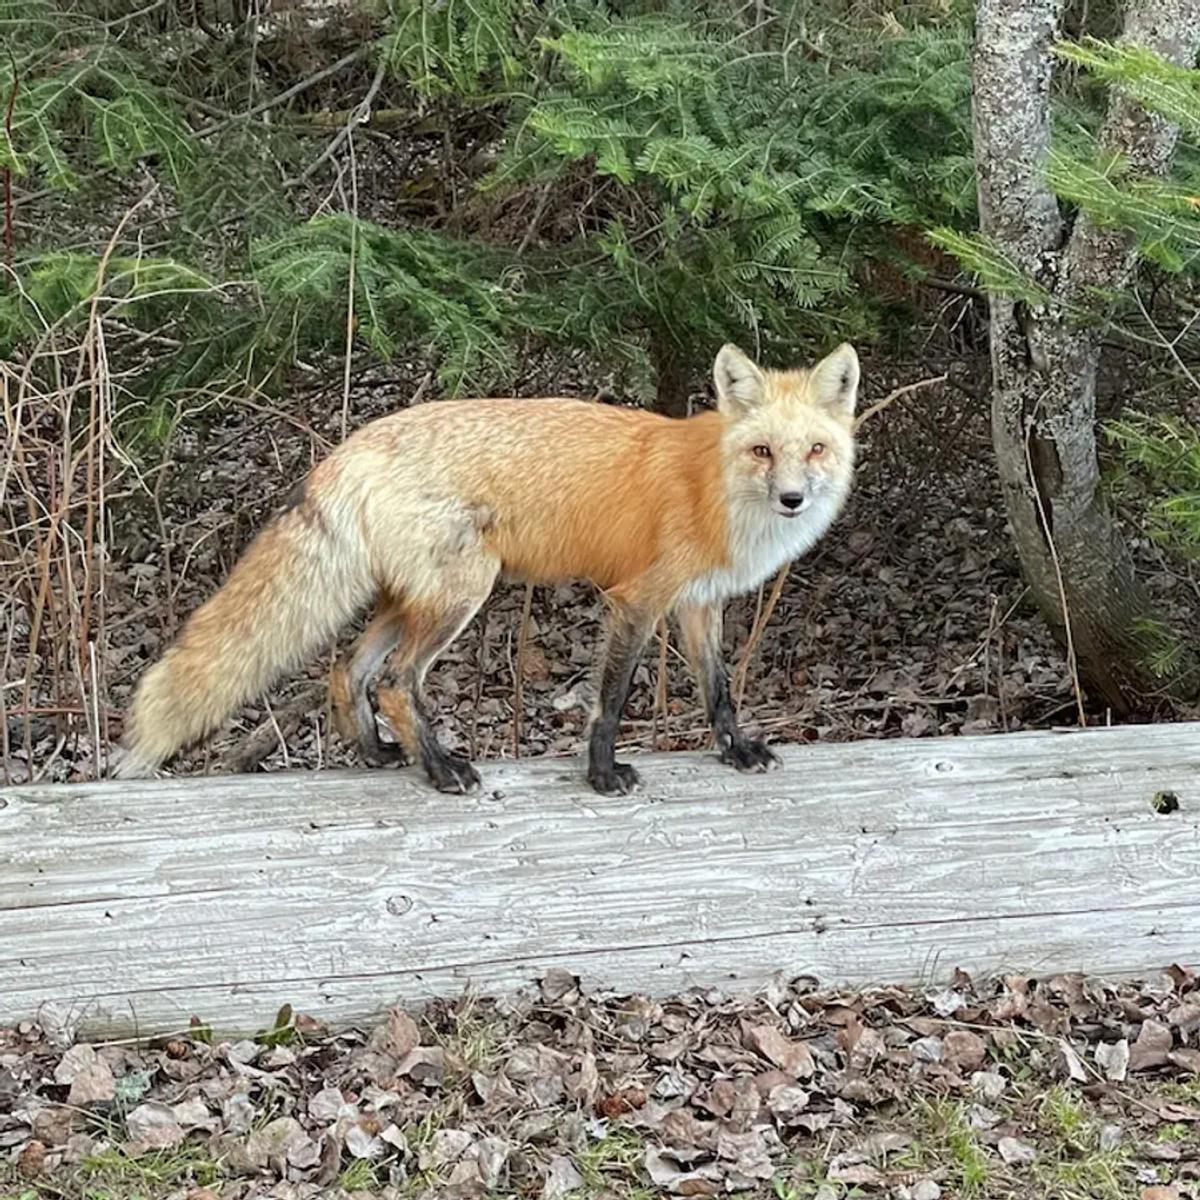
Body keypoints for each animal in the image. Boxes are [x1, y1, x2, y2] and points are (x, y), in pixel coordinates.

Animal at [112, 345, 859, 796]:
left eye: (814, 451)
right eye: (762, 451)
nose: (793, 499)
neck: (712, 490)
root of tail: (350, 447)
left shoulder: (698, 604)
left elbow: (719, 691)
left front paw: (736, 750)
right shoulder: (636, 601)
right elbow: (611, 701)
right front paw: (602, 773)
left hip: (408, 598)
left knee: (348, 671)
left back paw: (381, 754)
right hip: (462, 593)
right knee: (395, 682)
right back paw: (440, 768)